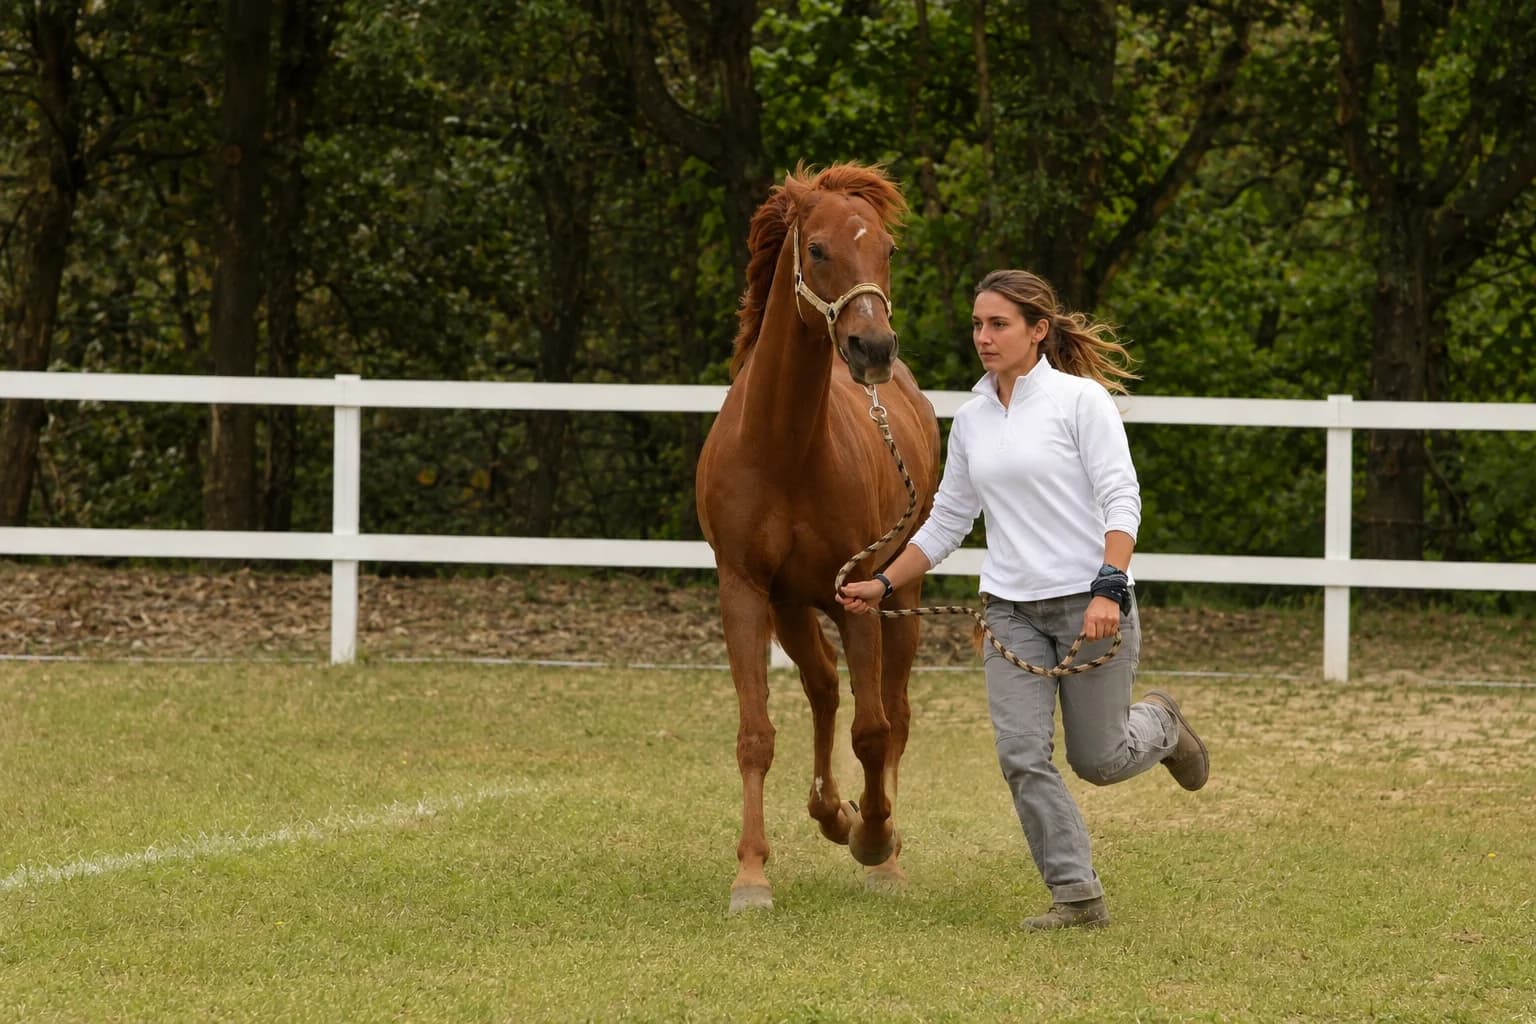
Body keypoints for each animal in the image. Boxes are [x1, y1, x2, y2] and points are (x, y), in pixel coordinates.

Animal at [695, 163, 942, 913]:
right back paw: (831, 812)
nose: (873, 348)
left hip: (900, 596)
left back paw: (878, 843)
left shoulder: (857, 595)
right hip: (794, 606)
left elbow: (874, 731)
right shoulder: (747, 593)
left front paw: (877, 841)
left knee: (893, 713)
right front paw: (751, 875)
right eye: (819, 249)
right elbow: (756, 734)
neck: (784, 448)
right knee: (825, 688)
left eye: (888, 249)